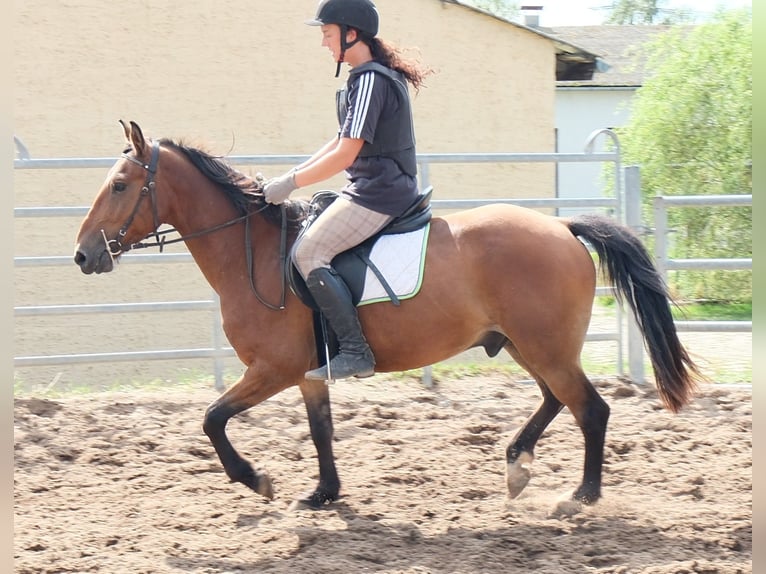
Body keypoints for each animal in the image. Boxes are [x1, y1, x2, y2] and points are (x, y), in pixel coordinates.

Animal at [74, 120, 701, 511]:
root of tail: (563, 227)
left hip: (544, 346)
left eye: (121, 185)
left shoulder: (273, 369)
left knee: (590, 409)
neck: (255, 252)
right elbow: (320, 430)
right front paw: (323, 493)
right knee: (555, 399)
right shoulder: (308, 373)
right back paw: (517, 465)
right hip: (523, 344)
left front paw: (257, 480)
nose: (83, 255)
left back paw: (581, 496)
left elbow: (212, 419)